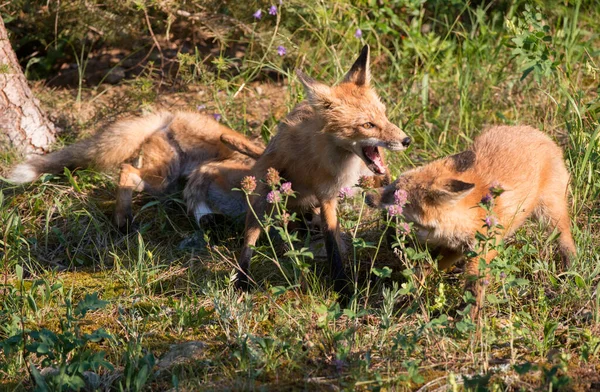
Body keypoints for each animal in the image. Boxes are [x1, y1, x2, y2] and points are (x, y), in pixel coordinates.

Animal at [237, 45, 410, 290]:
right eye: (368, 125)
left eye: (384, 115)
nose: (407, 141)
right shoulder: (326, 195)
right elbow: (331, 244)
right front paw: (342, 286)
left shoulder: (365, 180)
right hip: (263, 195)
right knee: (251, 237)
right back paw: (242, 278)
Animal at [366, 125, 576, 318]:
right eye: (392, 185)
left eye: (396, 193)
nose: (367, 196)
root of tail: (537, 132)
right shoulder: (455, 248)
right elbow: (426, 268)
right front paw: (405, 295)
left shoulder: (483, 252)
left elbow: (474, 287)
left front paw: (470, 321)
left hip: (551, 214)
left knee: (566, 240)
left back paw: (570, 269)